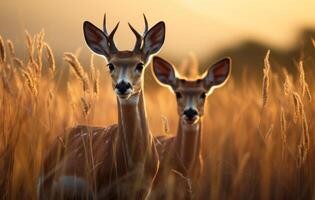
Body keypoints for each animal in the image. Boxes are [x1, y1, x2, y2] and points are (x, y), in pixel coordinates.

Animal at [38, 14, 167, 199]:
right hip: (43, 189)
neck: (135, 164)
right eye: (110, 65)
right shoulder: (98, 188)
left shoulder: (144, 191)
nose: (122, 85)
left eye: (140, 65)